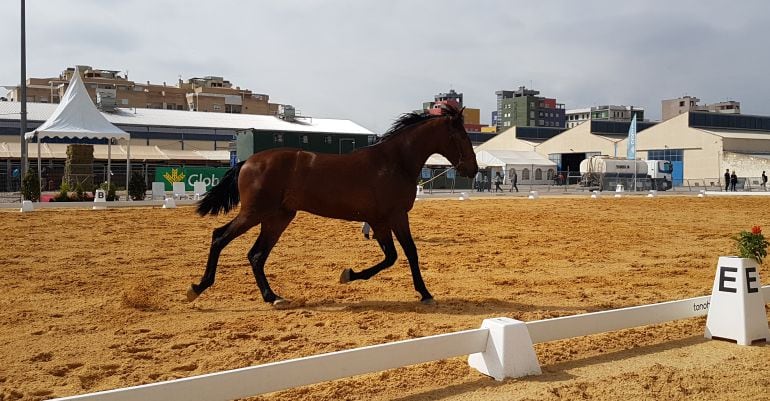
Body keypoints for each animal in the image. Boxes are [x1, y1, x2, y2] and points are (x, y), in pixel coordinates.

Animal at [188, 104, 474, 306]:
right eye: (461, 136)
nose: (472, 169)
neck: (394, 162)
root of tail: (247, 161)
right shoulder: (393, 217)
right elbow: (404, 254)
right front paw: (423, 292)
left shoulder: (383, 220)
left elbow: (396, 256)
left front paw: (351, 275)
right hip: (255, 213)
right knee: (220, 237)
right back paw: (198, 288)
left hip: (277, 217)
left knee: (256, 255)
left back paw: (272, 296)